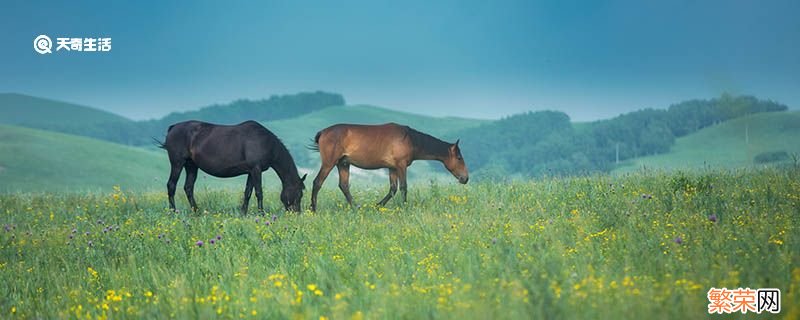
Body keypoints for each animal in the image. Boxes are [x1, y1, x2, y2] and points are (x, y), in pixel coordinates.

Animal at [159, 121, 306, 214]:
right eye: (299, 193)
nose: (296, 213)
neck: (266, 142)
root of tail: (173, 128)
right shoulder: (256, 169)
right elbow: (259, 192)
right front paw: (261, 213)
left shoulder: (251, 171)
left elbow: (248, 192)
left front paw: (243, 213)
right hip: (177, 163)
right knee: (171, 185)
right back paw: (173, 212)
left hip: (191, 166)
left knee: (188, 188)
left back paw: (196, 211)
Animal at [308, 124, 468, 211]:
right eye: (459, 158)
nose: (465, 178)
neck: (409, 139)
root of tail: (323, 132)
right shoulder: (401, 166)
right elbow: (403, 187)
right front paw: (404, 207)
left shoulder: (392, 168)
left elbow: (393, 189)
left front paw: (378, 206)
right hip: (329, 163)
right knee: (317, 182)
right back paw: (313, 209)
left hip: (343, 164)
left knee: (344, 186)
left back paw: (356, 207)